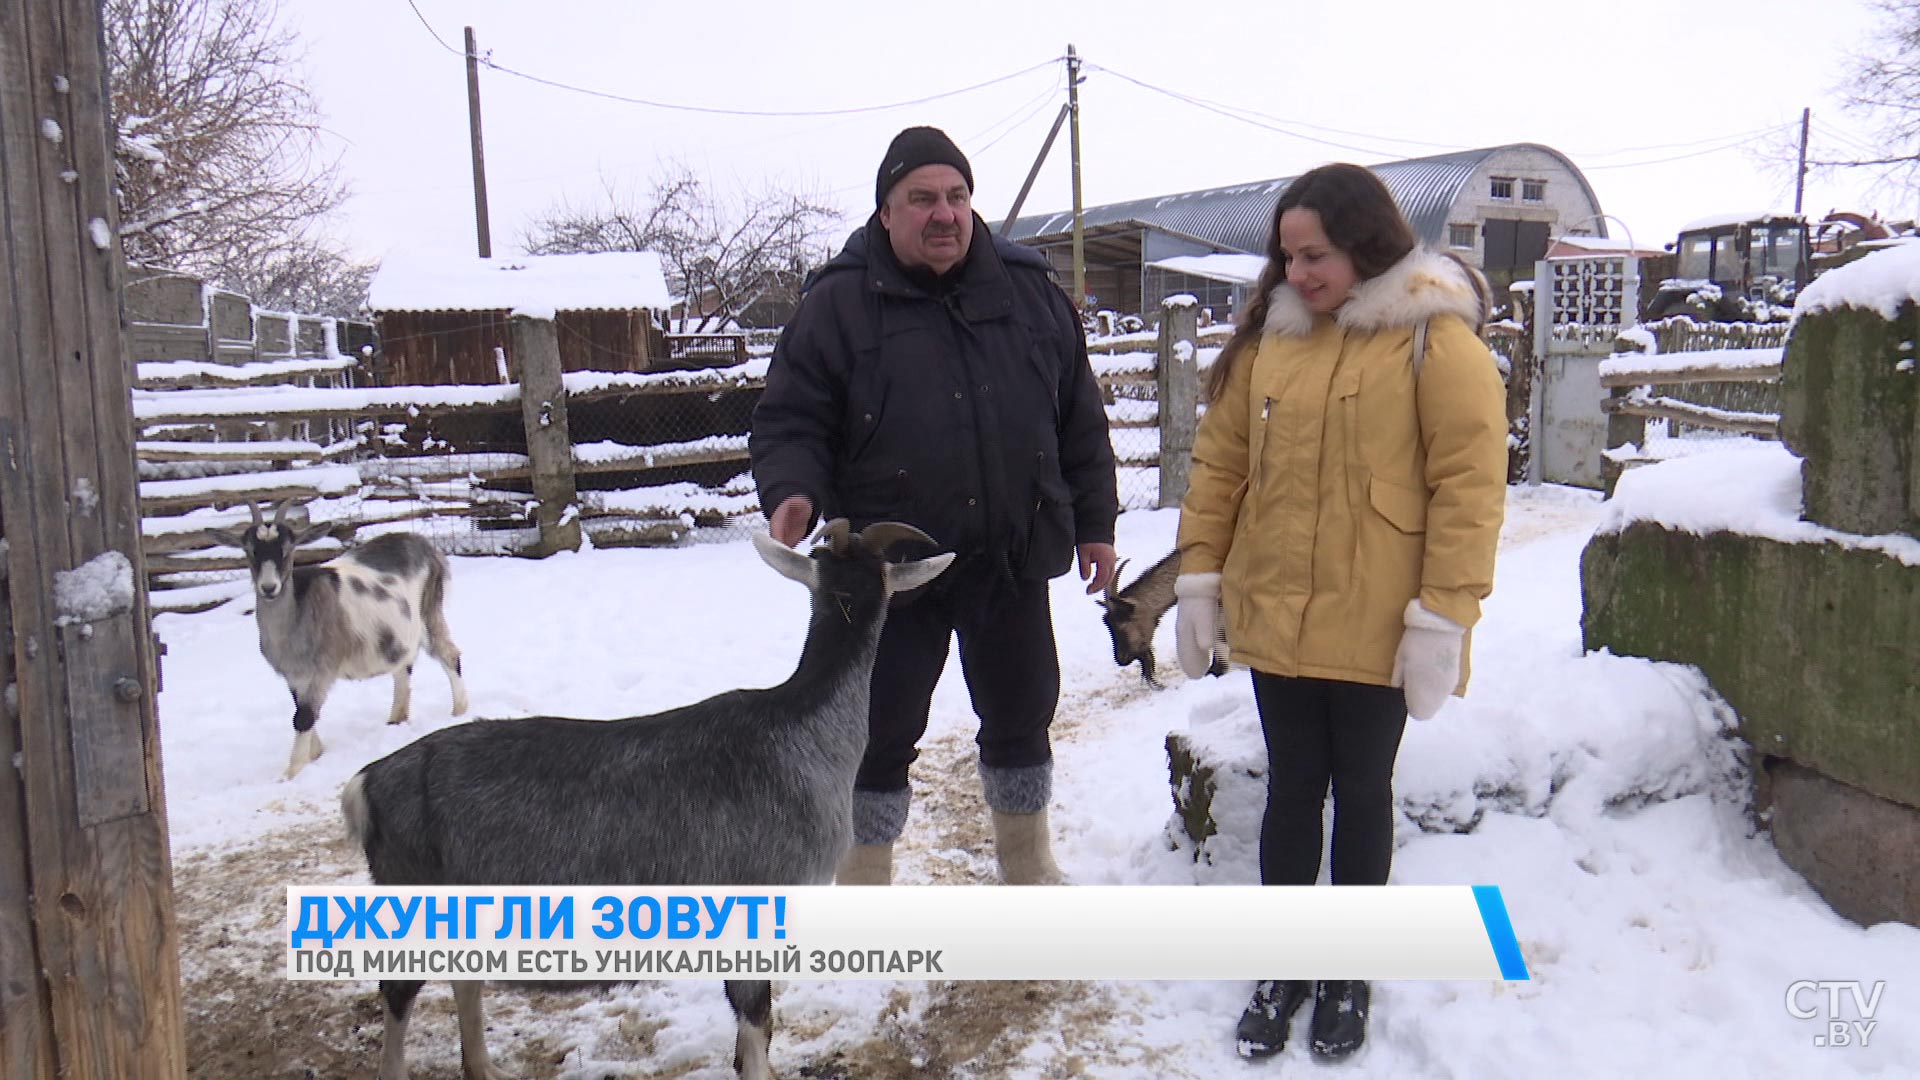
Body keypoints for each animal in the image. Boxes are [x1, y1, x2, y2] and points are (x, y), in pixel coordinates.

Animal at [211, 499, 468, 776]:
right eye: (250, 551)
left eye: (287, 550)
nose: (269, 588)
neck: (297, 615)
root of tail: (426, 546)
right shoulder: (294, 676)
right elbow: (302, 712)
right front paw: (315, 754)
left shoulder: (322, 669)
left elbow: (303, 718)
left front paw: (292, 773)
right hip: (398, 633)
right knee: (403, 668)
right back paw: (396, 719)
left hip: (429, 610)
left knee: (449, 654)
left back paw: (459, 711)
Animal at [343, 518, 952, 1068]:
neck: (802, 730)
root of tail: (366, 784)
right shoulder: (754, 900)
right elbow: (756, 1025)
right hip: (410, 893)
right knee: (397, 993)